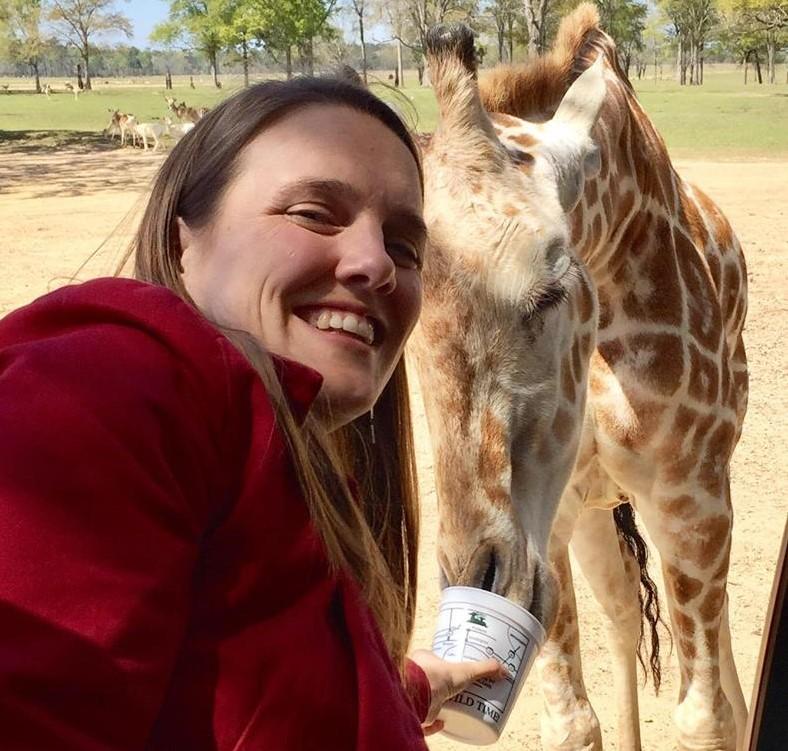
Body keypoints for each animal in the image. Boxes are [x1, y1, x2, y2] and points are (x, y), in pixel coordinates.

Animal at [412, 5, 752, 751]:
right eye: (404, 324)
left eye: (549, 290)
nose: (482, 578)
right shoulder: (558, 516)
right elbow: (571, 721)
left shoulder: (692, 501)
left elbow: (705, 715)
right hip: (598, 512)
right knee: (624, 615)